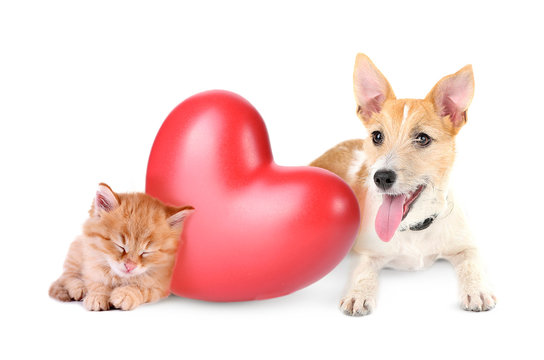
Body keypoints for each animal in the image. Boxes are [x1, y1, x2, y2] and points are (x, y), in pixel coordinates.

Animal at [49, 184, 193, 310]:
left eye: (146, 252)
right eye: (120, 246)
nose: (130, 266)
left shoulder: (159, 285)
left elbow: (139, 287)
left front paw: (124, 294)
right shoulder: (91, 266)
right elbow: (97, 283)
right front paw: (97, 296)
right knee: (67, 276)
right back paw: (79, 288)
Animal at [312, 53, 496, 316]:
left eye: (423, 138)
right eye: (377, 136)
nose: (381, 177)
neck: (413, 228)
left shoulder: (467, 246)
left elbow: (472, 265)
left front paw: (477, 290)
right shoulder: (365, 253)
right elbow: (363, 273)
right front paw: (358, 294)